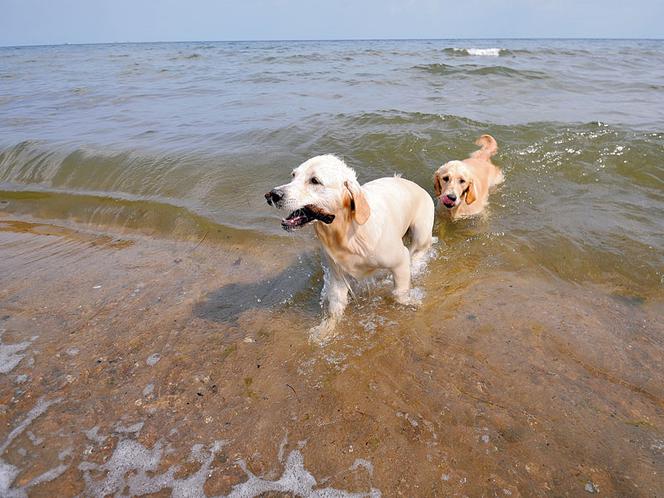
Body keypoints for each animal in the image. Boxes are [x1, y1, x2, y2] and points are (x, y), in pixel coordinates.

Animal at [264, 155, 436, 342]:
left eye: (315, 181)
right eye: (293, 175)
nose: (272, 194)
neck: (347, 231)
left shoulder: (399, 260)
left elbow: (399, 293)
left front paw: (411, 301)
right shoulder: (338, 274)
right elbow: (335, 307)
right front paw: (325, 330)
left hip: (421, 231)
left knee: (420, 248)